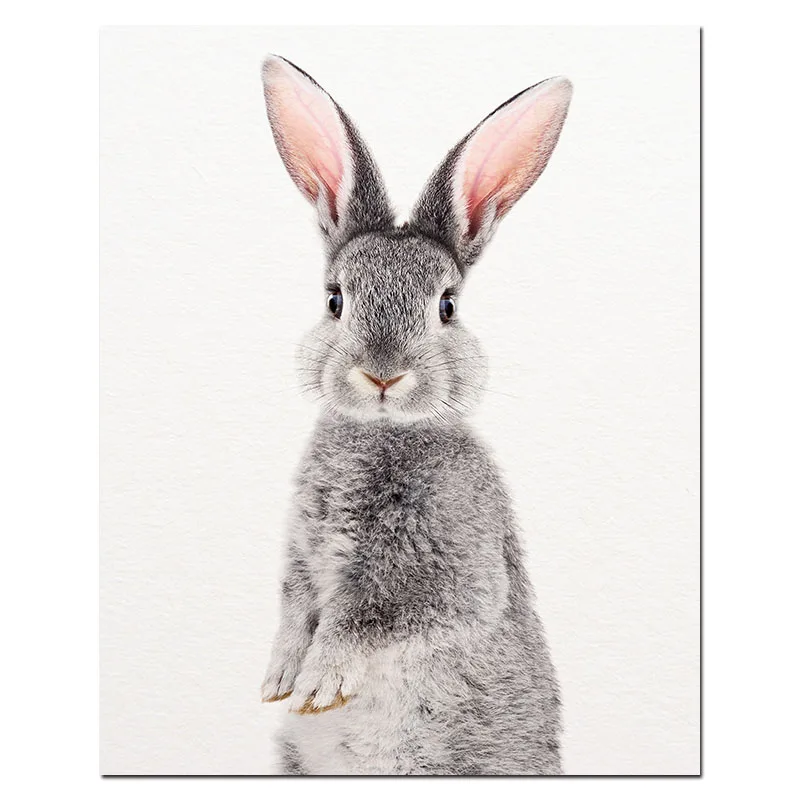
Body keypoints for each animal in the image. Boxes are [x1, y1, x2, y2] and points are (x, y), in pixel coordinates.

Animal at [258, 55, 573, 776]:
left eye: (447, 306)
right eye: (335, 299)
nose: (382, 372)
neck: (378, 434)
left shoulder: (449, 575)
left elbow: (370, 619)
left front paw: (318, 681)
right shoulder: (300, 555)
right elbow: (294, 605)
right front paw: (280, 677)